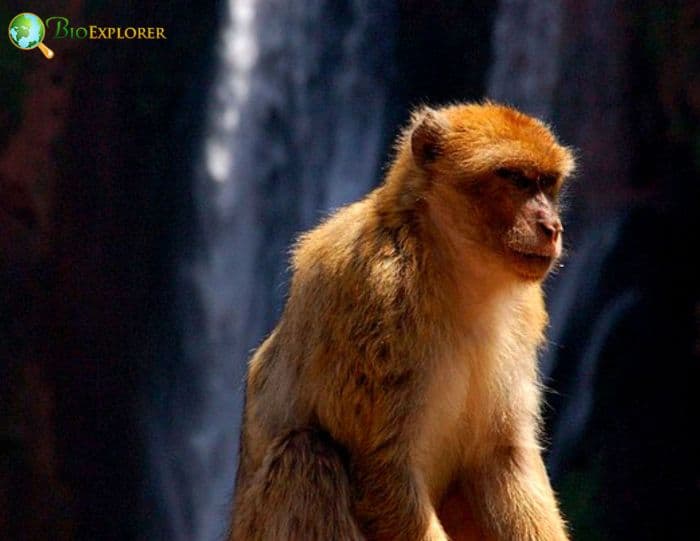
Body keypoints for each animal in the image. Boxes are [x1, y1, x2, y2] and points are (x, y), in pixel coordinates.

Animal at [230, 101, 575, 541]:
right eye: (514, 179)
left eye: (547, 184)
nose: (552, 227)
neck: (449, 264)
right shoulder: (380, 295)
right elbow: (382, 471)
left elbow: (503, 457)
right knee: (305, 456)